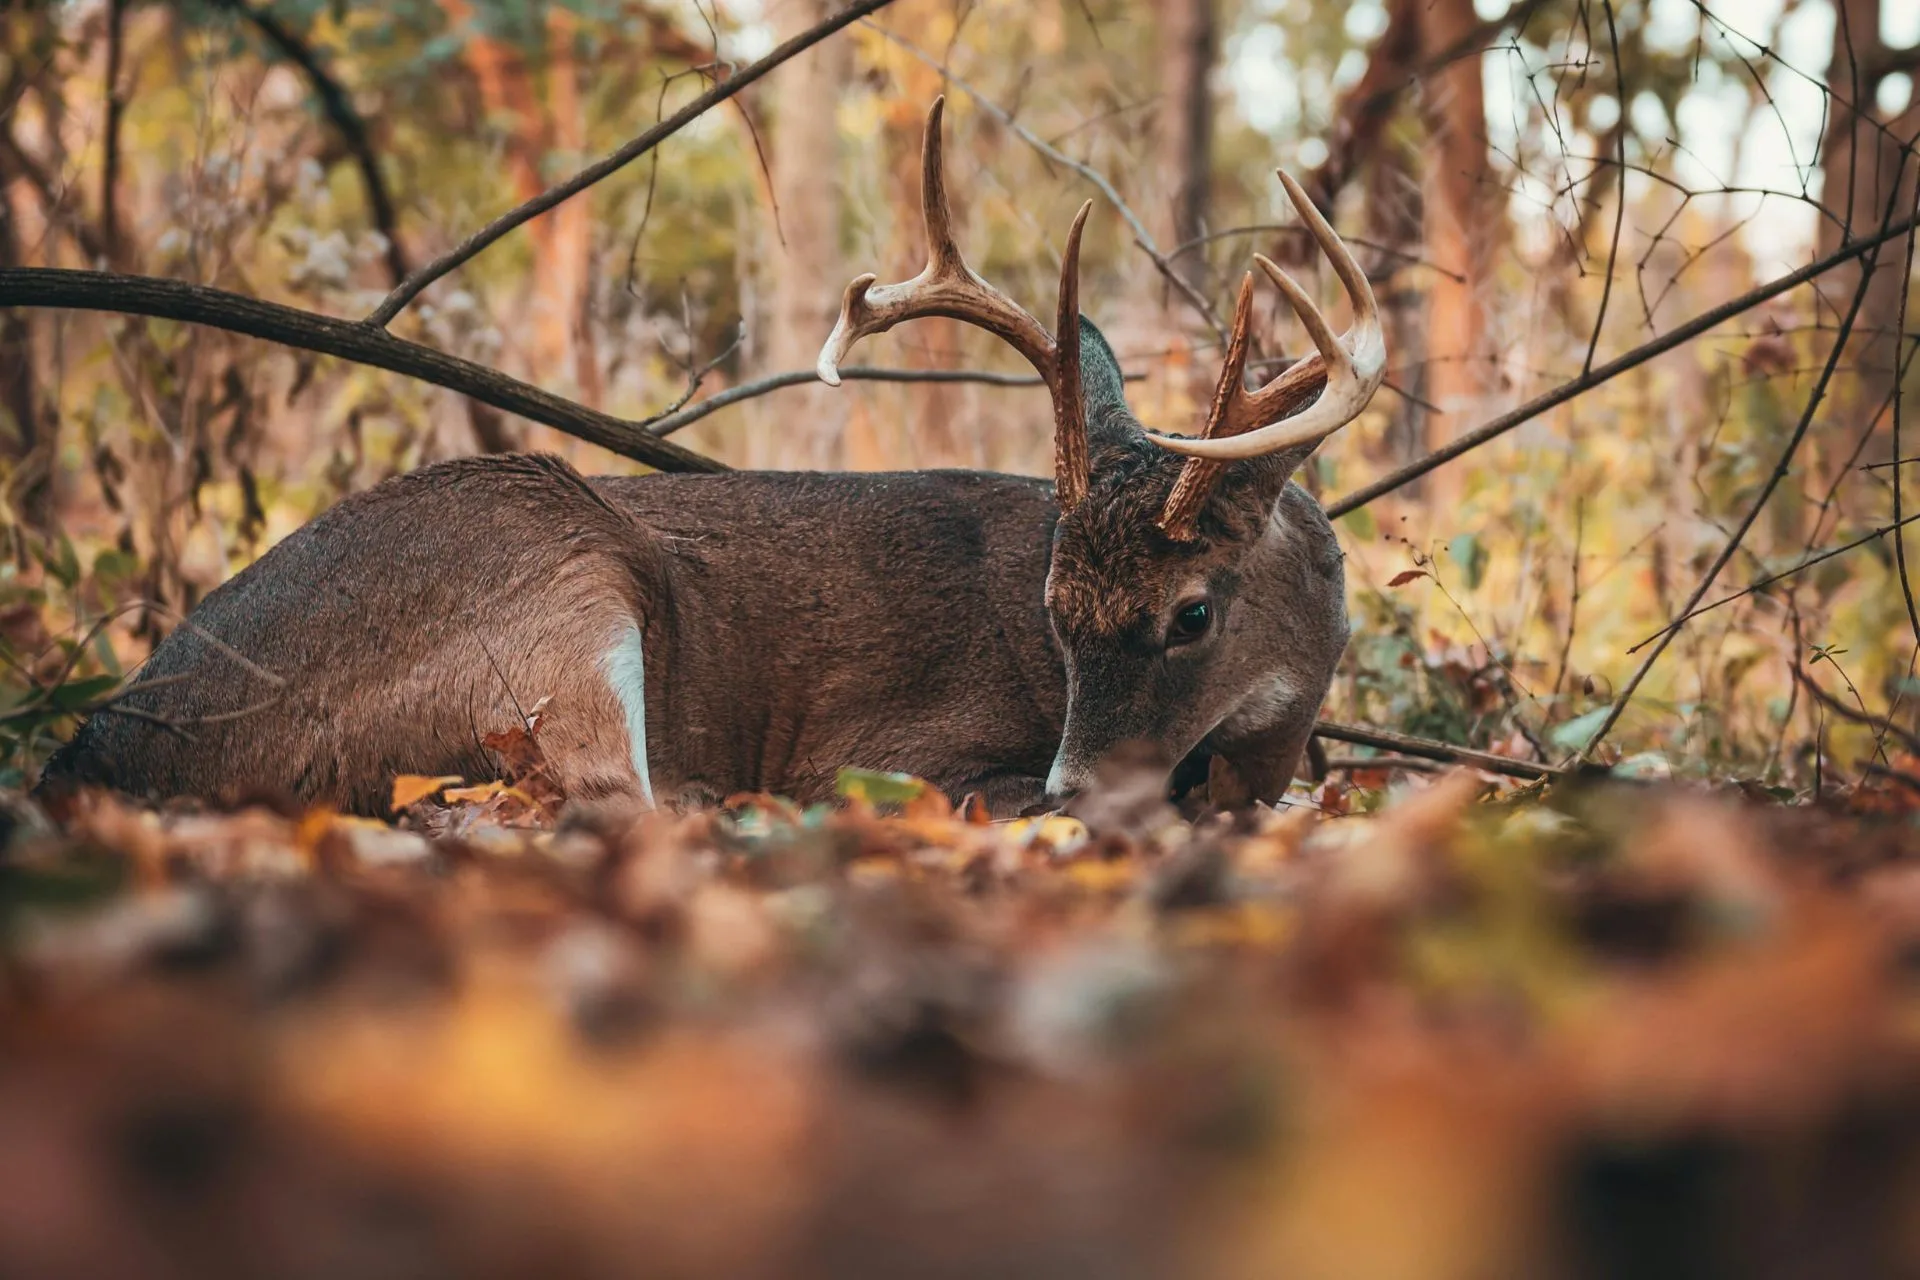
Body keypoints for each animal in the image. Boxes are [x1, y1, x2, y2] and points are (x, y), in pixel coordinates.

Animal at [36, 98, 1384, 820]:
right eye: (1055, 612)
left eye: (1192, 612)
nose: (1072, 793)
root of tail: (106, 745)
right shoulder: (886, 748)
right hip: (557, 570)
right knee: (598, 797)